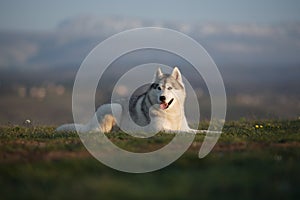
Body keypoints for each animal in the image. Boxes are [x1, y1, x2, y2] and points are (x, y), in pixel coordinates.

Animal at [57, 67, 200, 134]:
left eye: (169, 88)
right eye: (159, 88)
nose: (162, 98)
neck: (171, 114)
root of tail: (89, 123)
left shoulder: (186, 128)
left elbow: (198, 131)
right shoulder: (159, 129)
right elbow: (180, 132)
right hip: (116, 108)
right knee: (98, 131)